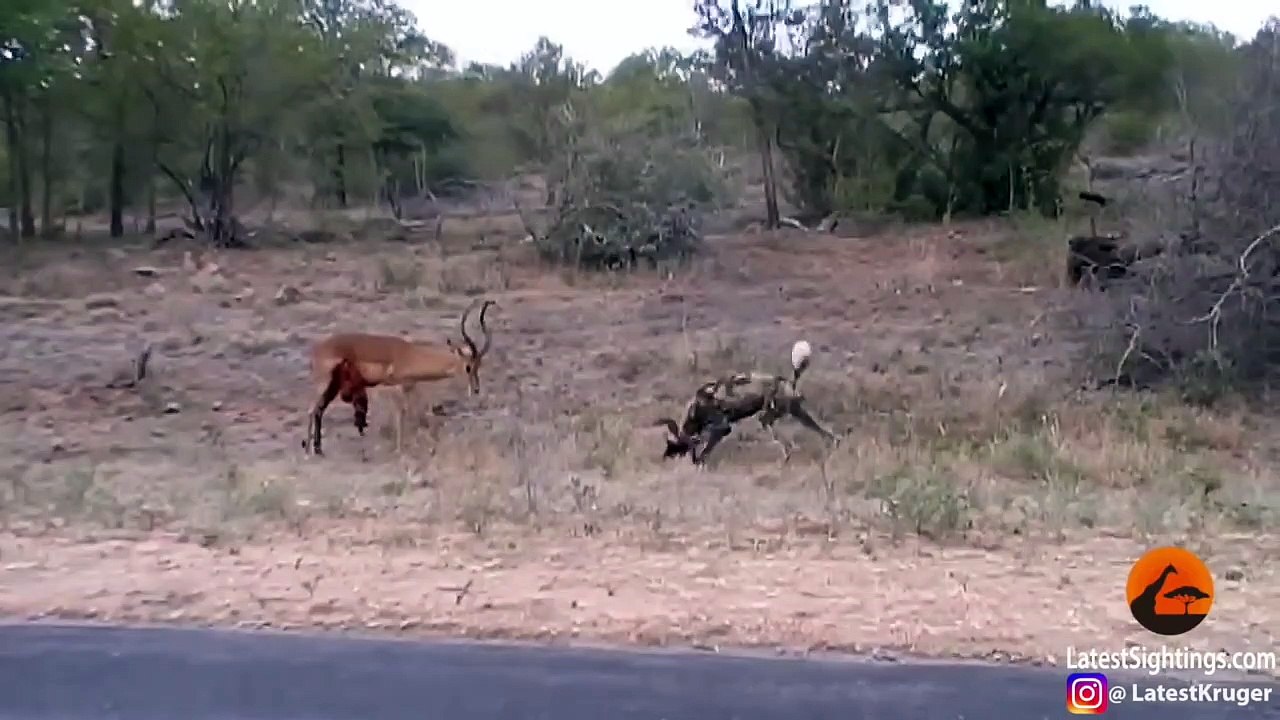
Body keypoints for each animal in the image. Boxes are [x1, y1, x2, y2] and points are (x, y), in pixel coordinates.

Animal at [302, 299, 496, 456]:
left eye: (479, 365)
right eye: (468, 367)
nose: (476, 389)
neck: (409, 355)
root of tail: (318, 349)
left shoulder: (410, 387)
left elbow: (414, 413)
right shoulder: (394, 387)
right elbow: (400, 413)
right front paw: (400, 449)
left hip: (333, 386)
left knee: (319, 410)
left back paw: (318, 450)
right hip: (324, 383)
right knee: (311, 410)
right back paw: (308, 451)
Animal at [656, 339, 839, 465]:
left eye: (672, 446)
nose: (664, 457)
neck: (697, 408)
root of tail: (789, 381)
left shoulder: (722, 428)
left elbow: (704, 452)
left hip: (766, 418)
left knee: (788, 446)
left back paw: (786, 461)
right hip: (798, 414)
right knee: (828, 434)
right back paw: (832, 450)